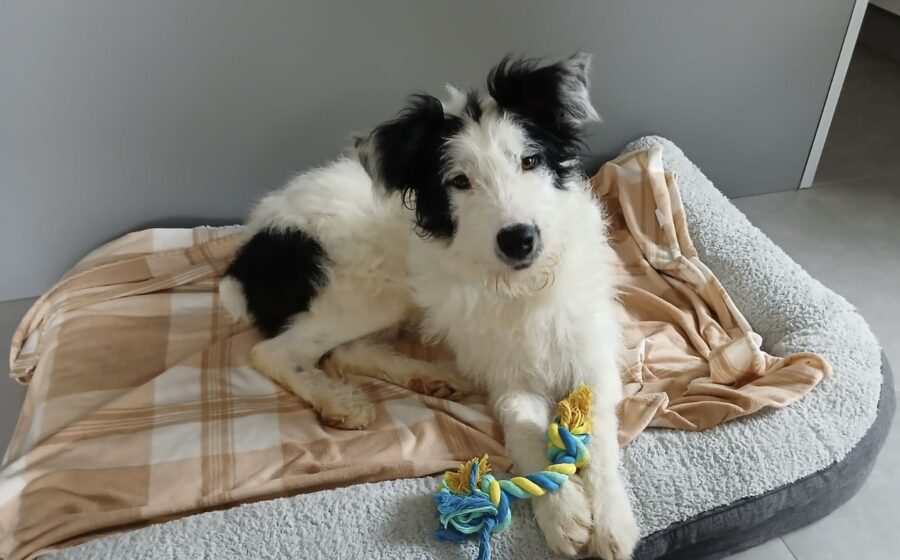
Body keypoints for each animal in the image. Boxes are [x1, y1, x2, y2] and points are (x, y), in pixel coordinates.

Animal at [219, 53, 639, 559]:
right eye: (458, 181)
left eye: (530, 160)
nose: (519, 239)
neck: (520, 286)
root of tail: (249, 253)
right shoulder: (505, 372)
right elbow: (521, 426)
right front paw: (560, 512)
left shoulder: (591, 350)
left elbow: (597, 433)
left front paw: (611, 521)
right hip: (370, 289)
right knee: (278, 352)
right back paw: (342, 401)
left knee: (345, 351)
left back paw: (431, 378)